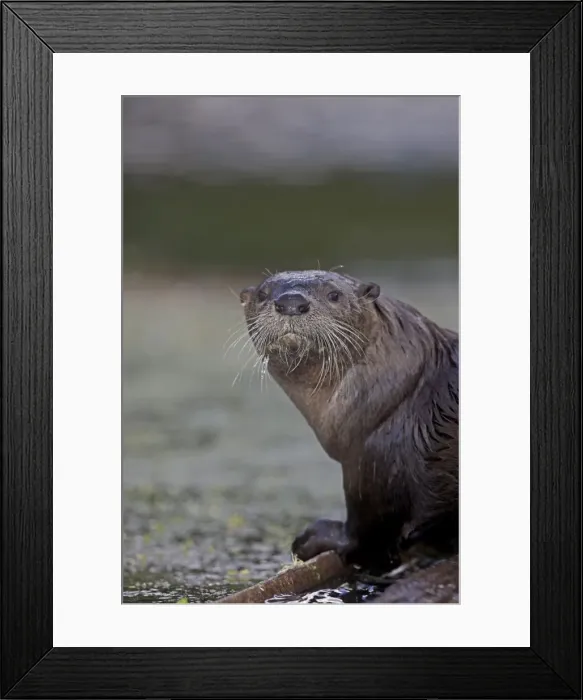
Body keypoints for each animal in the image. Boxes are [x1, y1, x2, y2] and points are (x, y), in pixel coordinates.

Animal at [240, 270, 458, 570]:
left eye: (334, 295)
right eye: (263, 294)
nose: (291, 302)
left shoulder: (373, 459)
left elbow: (369, 534)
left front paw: (318, 538)